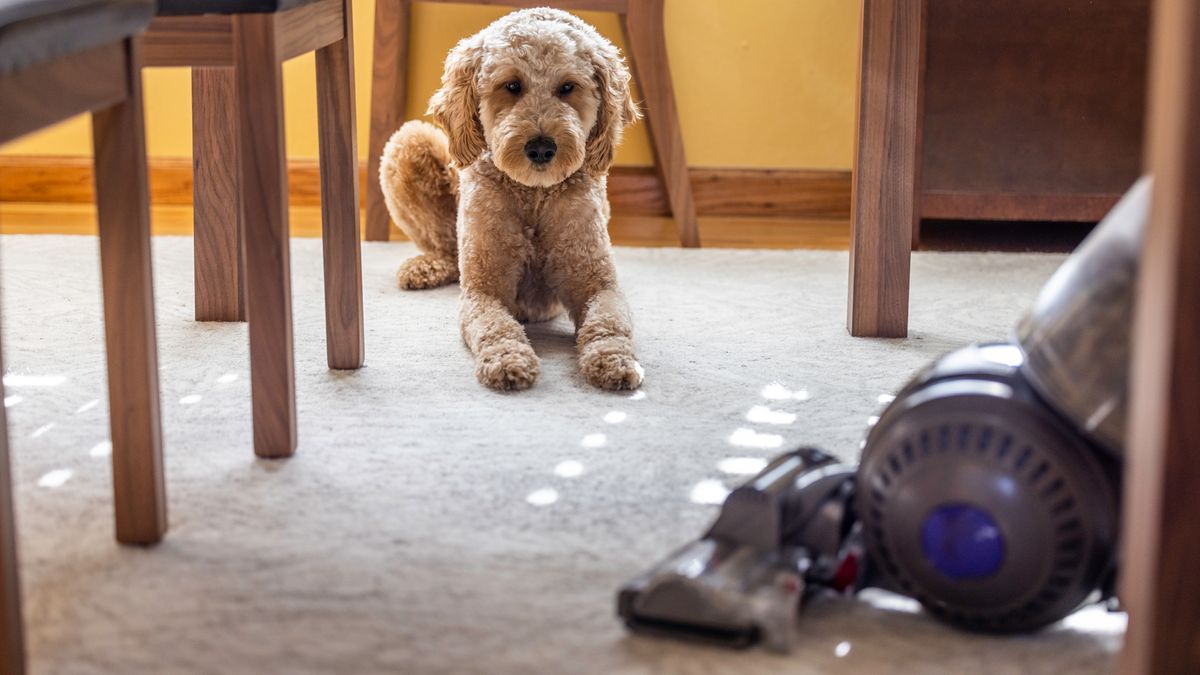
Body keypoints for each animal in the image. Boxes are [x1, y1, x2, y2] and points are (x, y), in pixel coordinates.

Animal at [384, 7, 648, 391]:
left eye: (568, 87)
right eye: (512, 85)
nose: (540, 148)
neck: (534, 195)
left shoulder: (597, 283)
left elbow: (608, 324)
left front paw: (614, 361)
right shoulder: (483, 290)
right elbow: (496, 328)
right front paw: (508, 360)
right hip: (409, 143)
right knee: (446, 247)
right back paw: (424, 268)